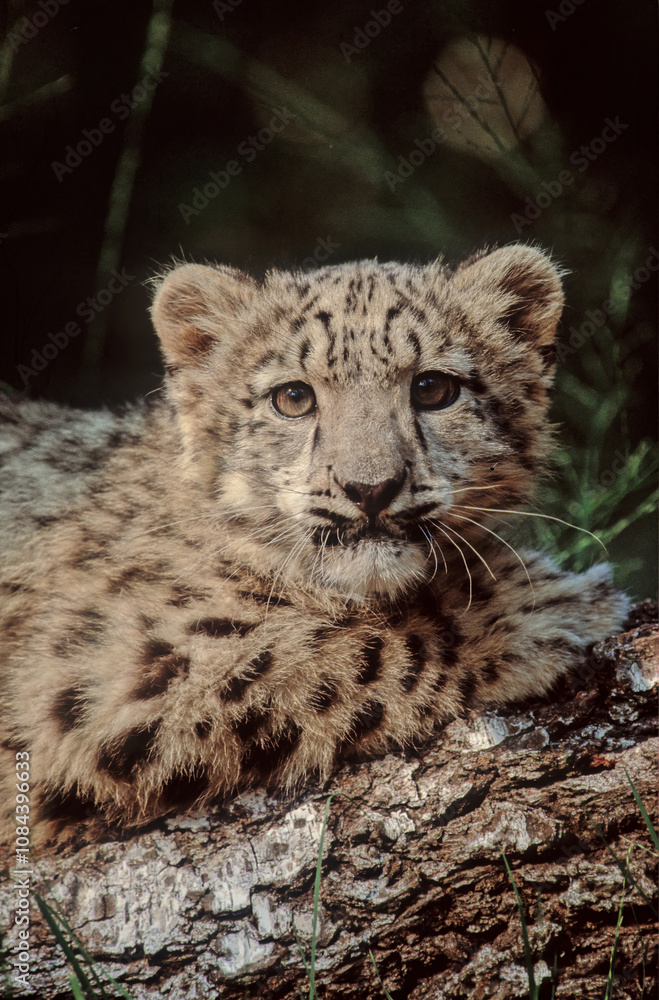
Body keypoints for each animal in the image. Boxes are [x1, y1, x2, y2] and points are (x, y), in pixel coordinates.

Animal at [0, 243, 629, 845]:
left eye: (433, 388)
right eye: (293, 398)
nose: (370, 487)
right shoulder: (109, 677)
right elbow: (338, 647)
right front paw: (545, 608)